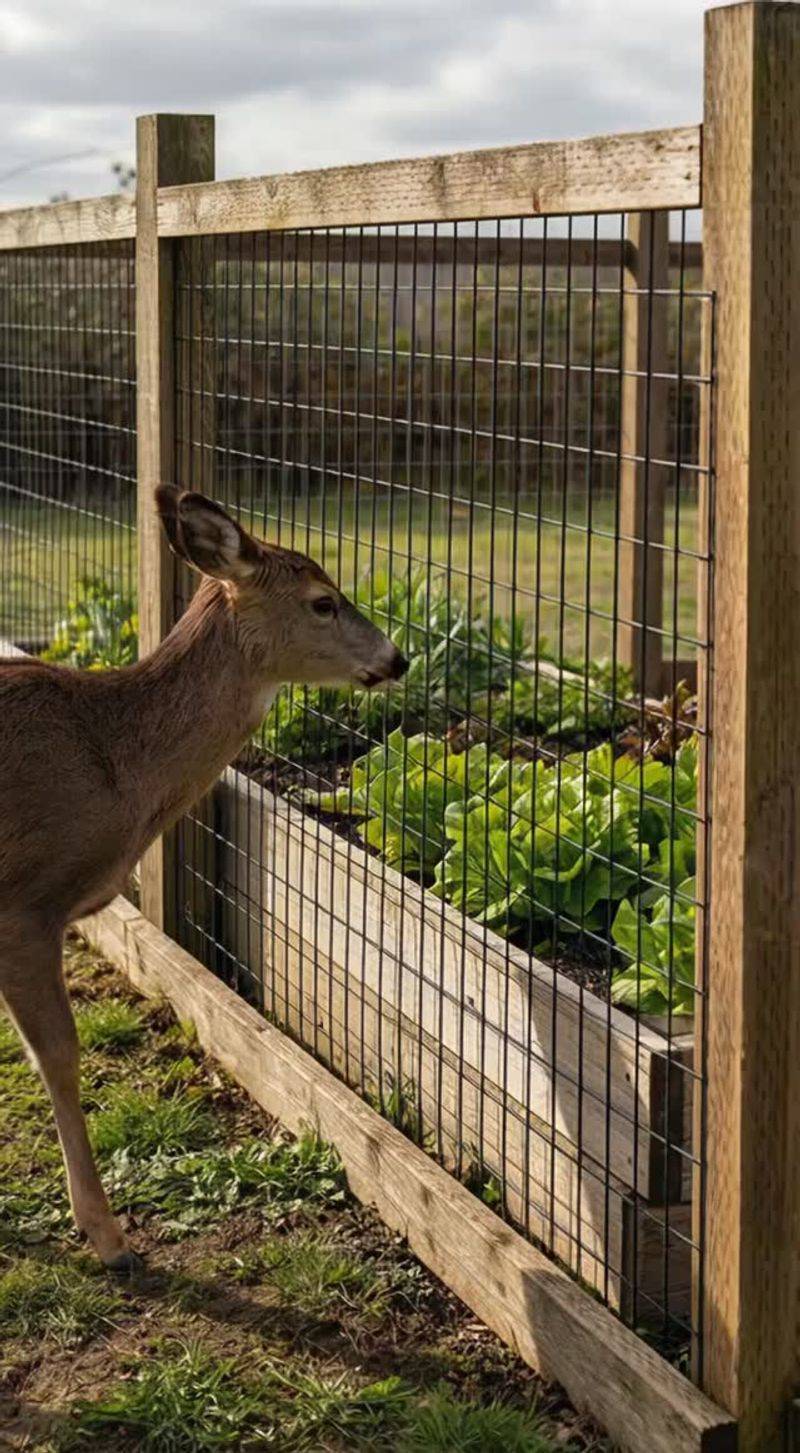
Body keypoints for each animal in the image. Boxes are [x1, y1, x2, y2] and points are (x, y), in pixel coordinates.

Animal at [0, 486, 407, 1274]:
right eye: (323, 601)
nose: (397, 658)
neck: (112, 761)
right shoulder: (23, 904)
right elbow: (59, 1055)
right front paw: (108, 1236)